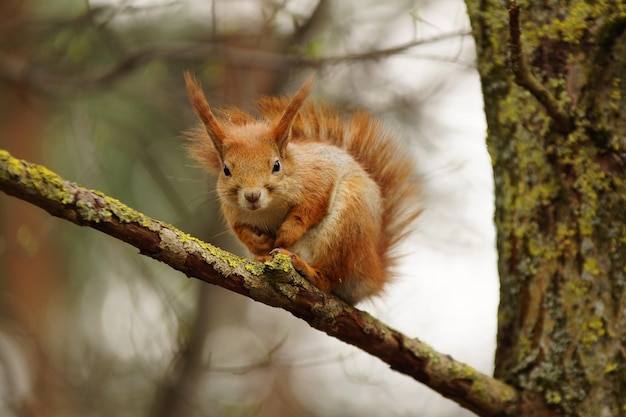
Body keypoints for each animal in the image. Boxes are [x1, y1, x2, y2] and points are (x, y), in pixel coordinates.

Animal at [184, 73, 420, 304]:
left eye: (276, 165)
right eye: (226, 170)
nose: (252, 196)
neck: (269, 208)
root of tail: (371, 275)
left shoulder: (318, 177)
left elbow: (311, 206)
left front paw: (287, 232)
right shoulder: (233, 212)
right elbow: (240, 229)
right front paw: (258, 243)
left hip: (347, 227)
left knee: (331, 278)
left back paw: (306, 268)